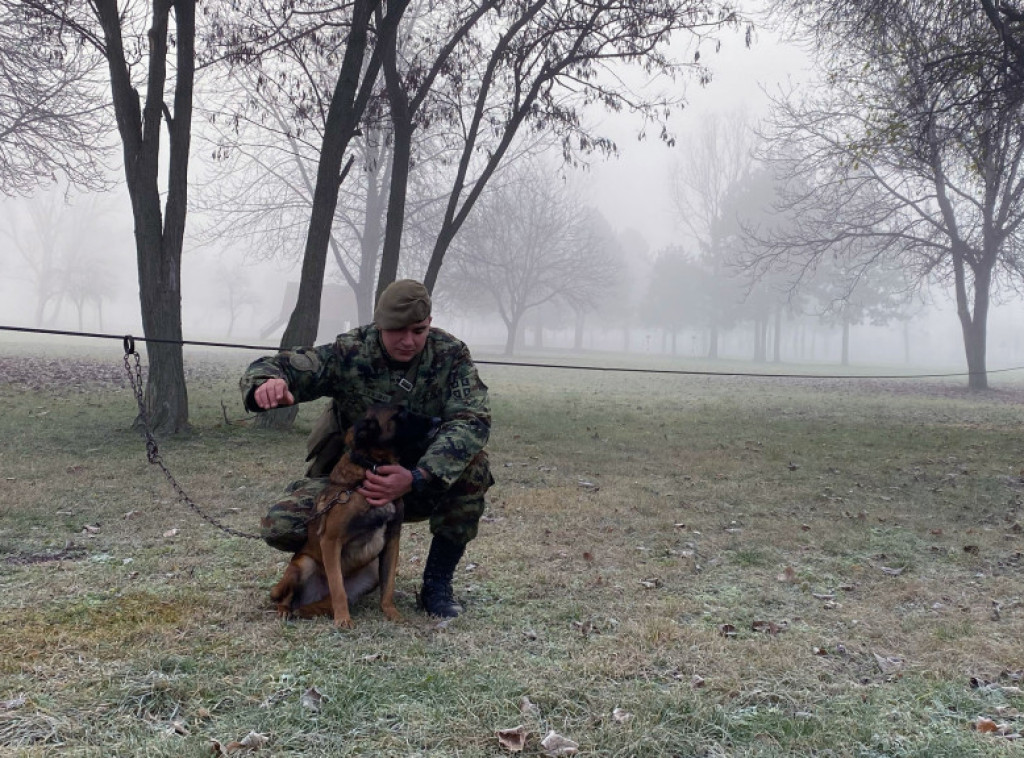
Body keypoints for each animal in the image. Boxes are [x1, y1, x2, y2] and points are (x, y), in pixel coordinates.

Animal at [270, 405, 434, 630]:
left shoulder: (392, 540)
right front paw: (343, 619)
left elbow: (388, 585)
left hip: (371, 573)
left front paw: (392, 613)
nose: (437, 420)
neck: (371, 469)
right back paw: (285, 611)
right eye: (400, 414)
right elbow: (337, 587)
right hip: (304, 564)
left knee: (323, 603)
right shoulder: (331, 541)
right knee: (288, 598)